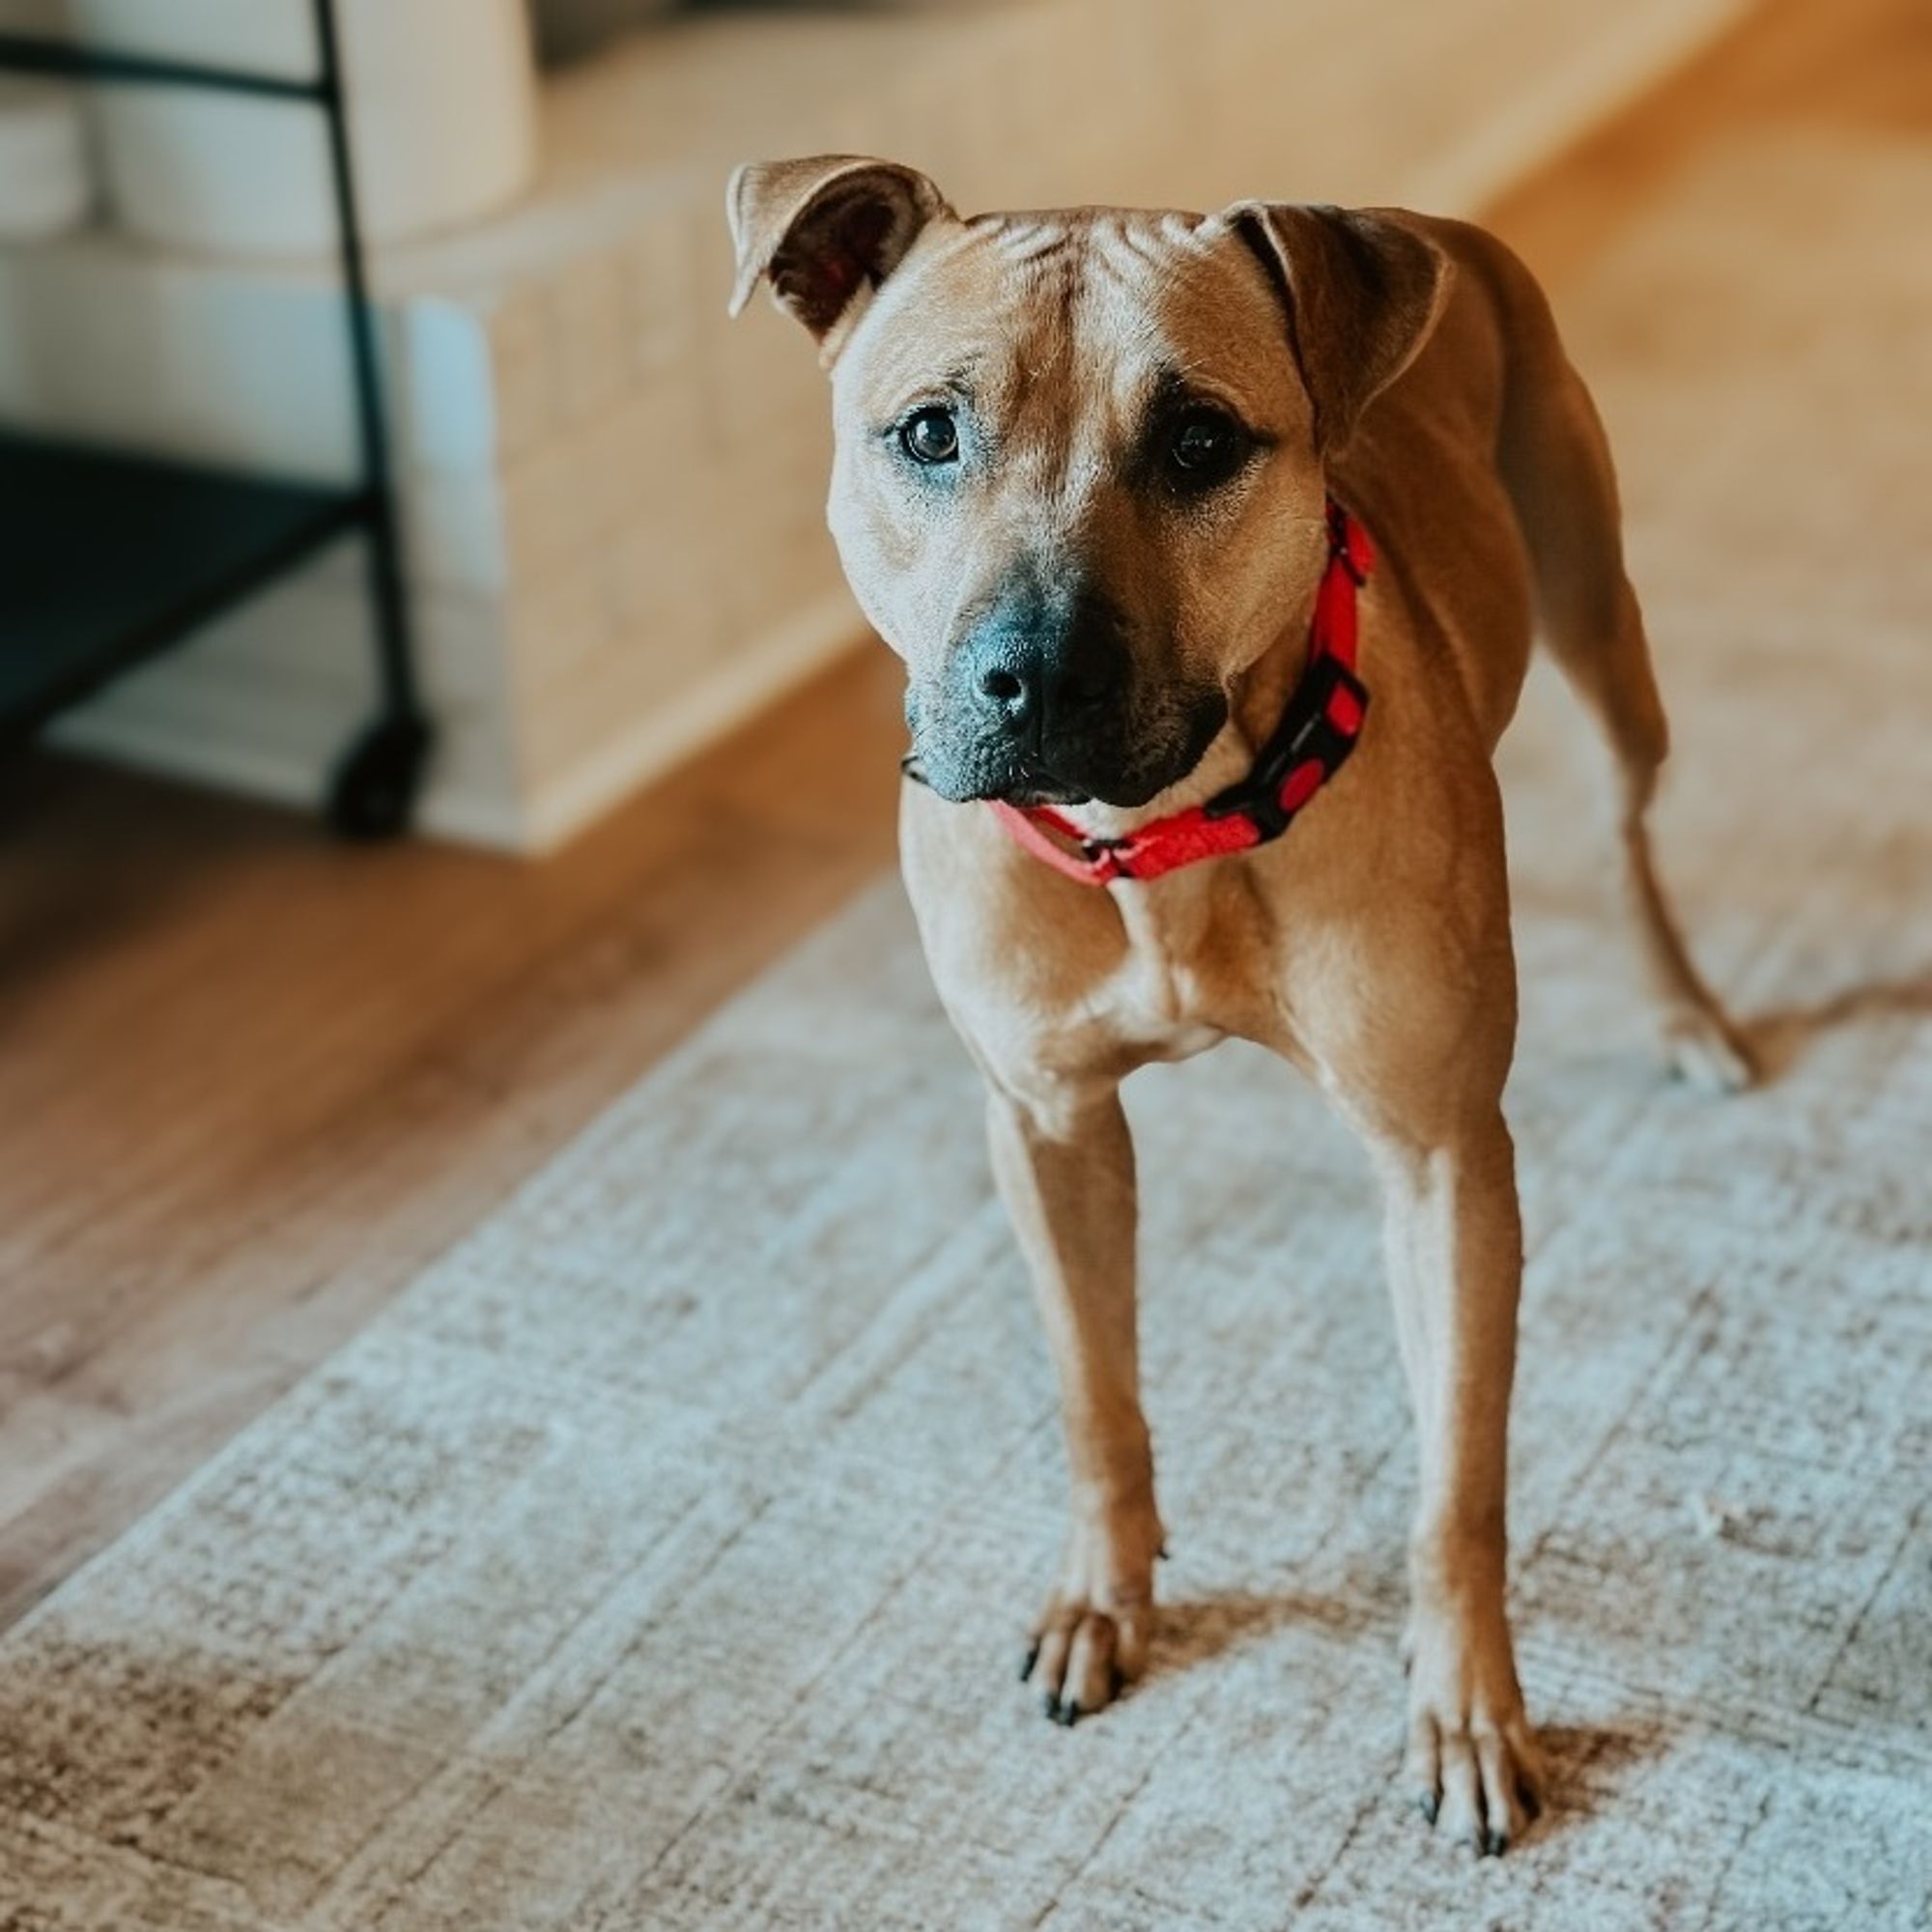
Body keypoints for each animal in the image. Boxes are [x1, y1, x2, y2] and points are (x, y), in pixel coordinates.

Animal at [726, 162, 1754, 1855]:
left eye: (1201, 441)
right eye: (929, 433)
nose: (1035, 676)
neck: (1159, 841)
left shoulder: (1444, 1162)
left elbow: (1455, 1488)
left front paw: (1467, 1709)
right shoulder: (1046, 1121)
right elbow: (1095, 1397)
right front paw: (1103, 1598)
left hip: (1606, 638)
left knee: (1628, 829)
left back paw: (1685, 1015)